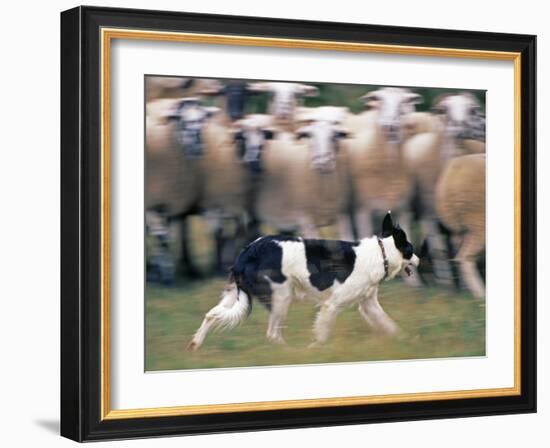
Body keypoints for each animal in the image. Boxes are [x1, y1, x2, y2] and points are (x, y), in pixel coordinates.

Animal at [188, 212, 420, 352]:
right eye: (411, 249)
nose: (419, 259)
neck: (381, 253)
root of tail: (246, 253)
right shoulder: (331, 305)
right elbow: (322, 334)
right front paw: (315, 350)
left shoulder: (369, 304)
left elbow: (389, 324)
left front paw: (405, 340)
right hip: (282, 297)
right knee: (272, 334)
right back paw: (288, 353)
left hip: (235, 295)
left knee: (211, 314)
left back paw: (196, 344)